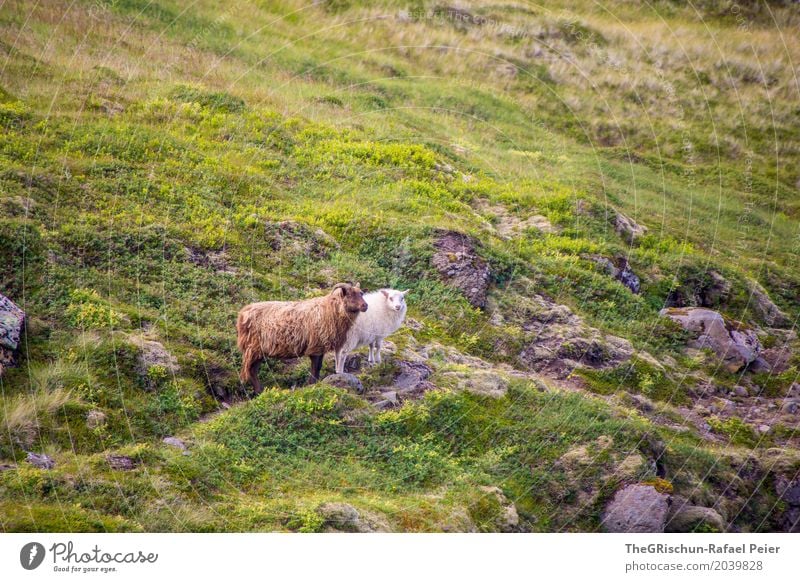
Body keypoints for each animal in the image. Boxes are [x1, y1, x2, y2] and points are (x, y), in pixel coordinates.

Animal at [233, 282, 368, 392]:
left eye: (361, 293)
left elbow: (318, 367)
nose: (365, 305)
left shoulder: (321, 348)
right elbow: (315, 368)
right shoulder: (315, 347)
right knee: (251, 370)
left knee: (253, 370)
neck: (330, 310)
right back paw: (259, 391)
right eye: (350, 294)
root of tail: (242, 314)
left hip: (258, 351)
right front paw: (312, 384)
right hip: (253, 348)